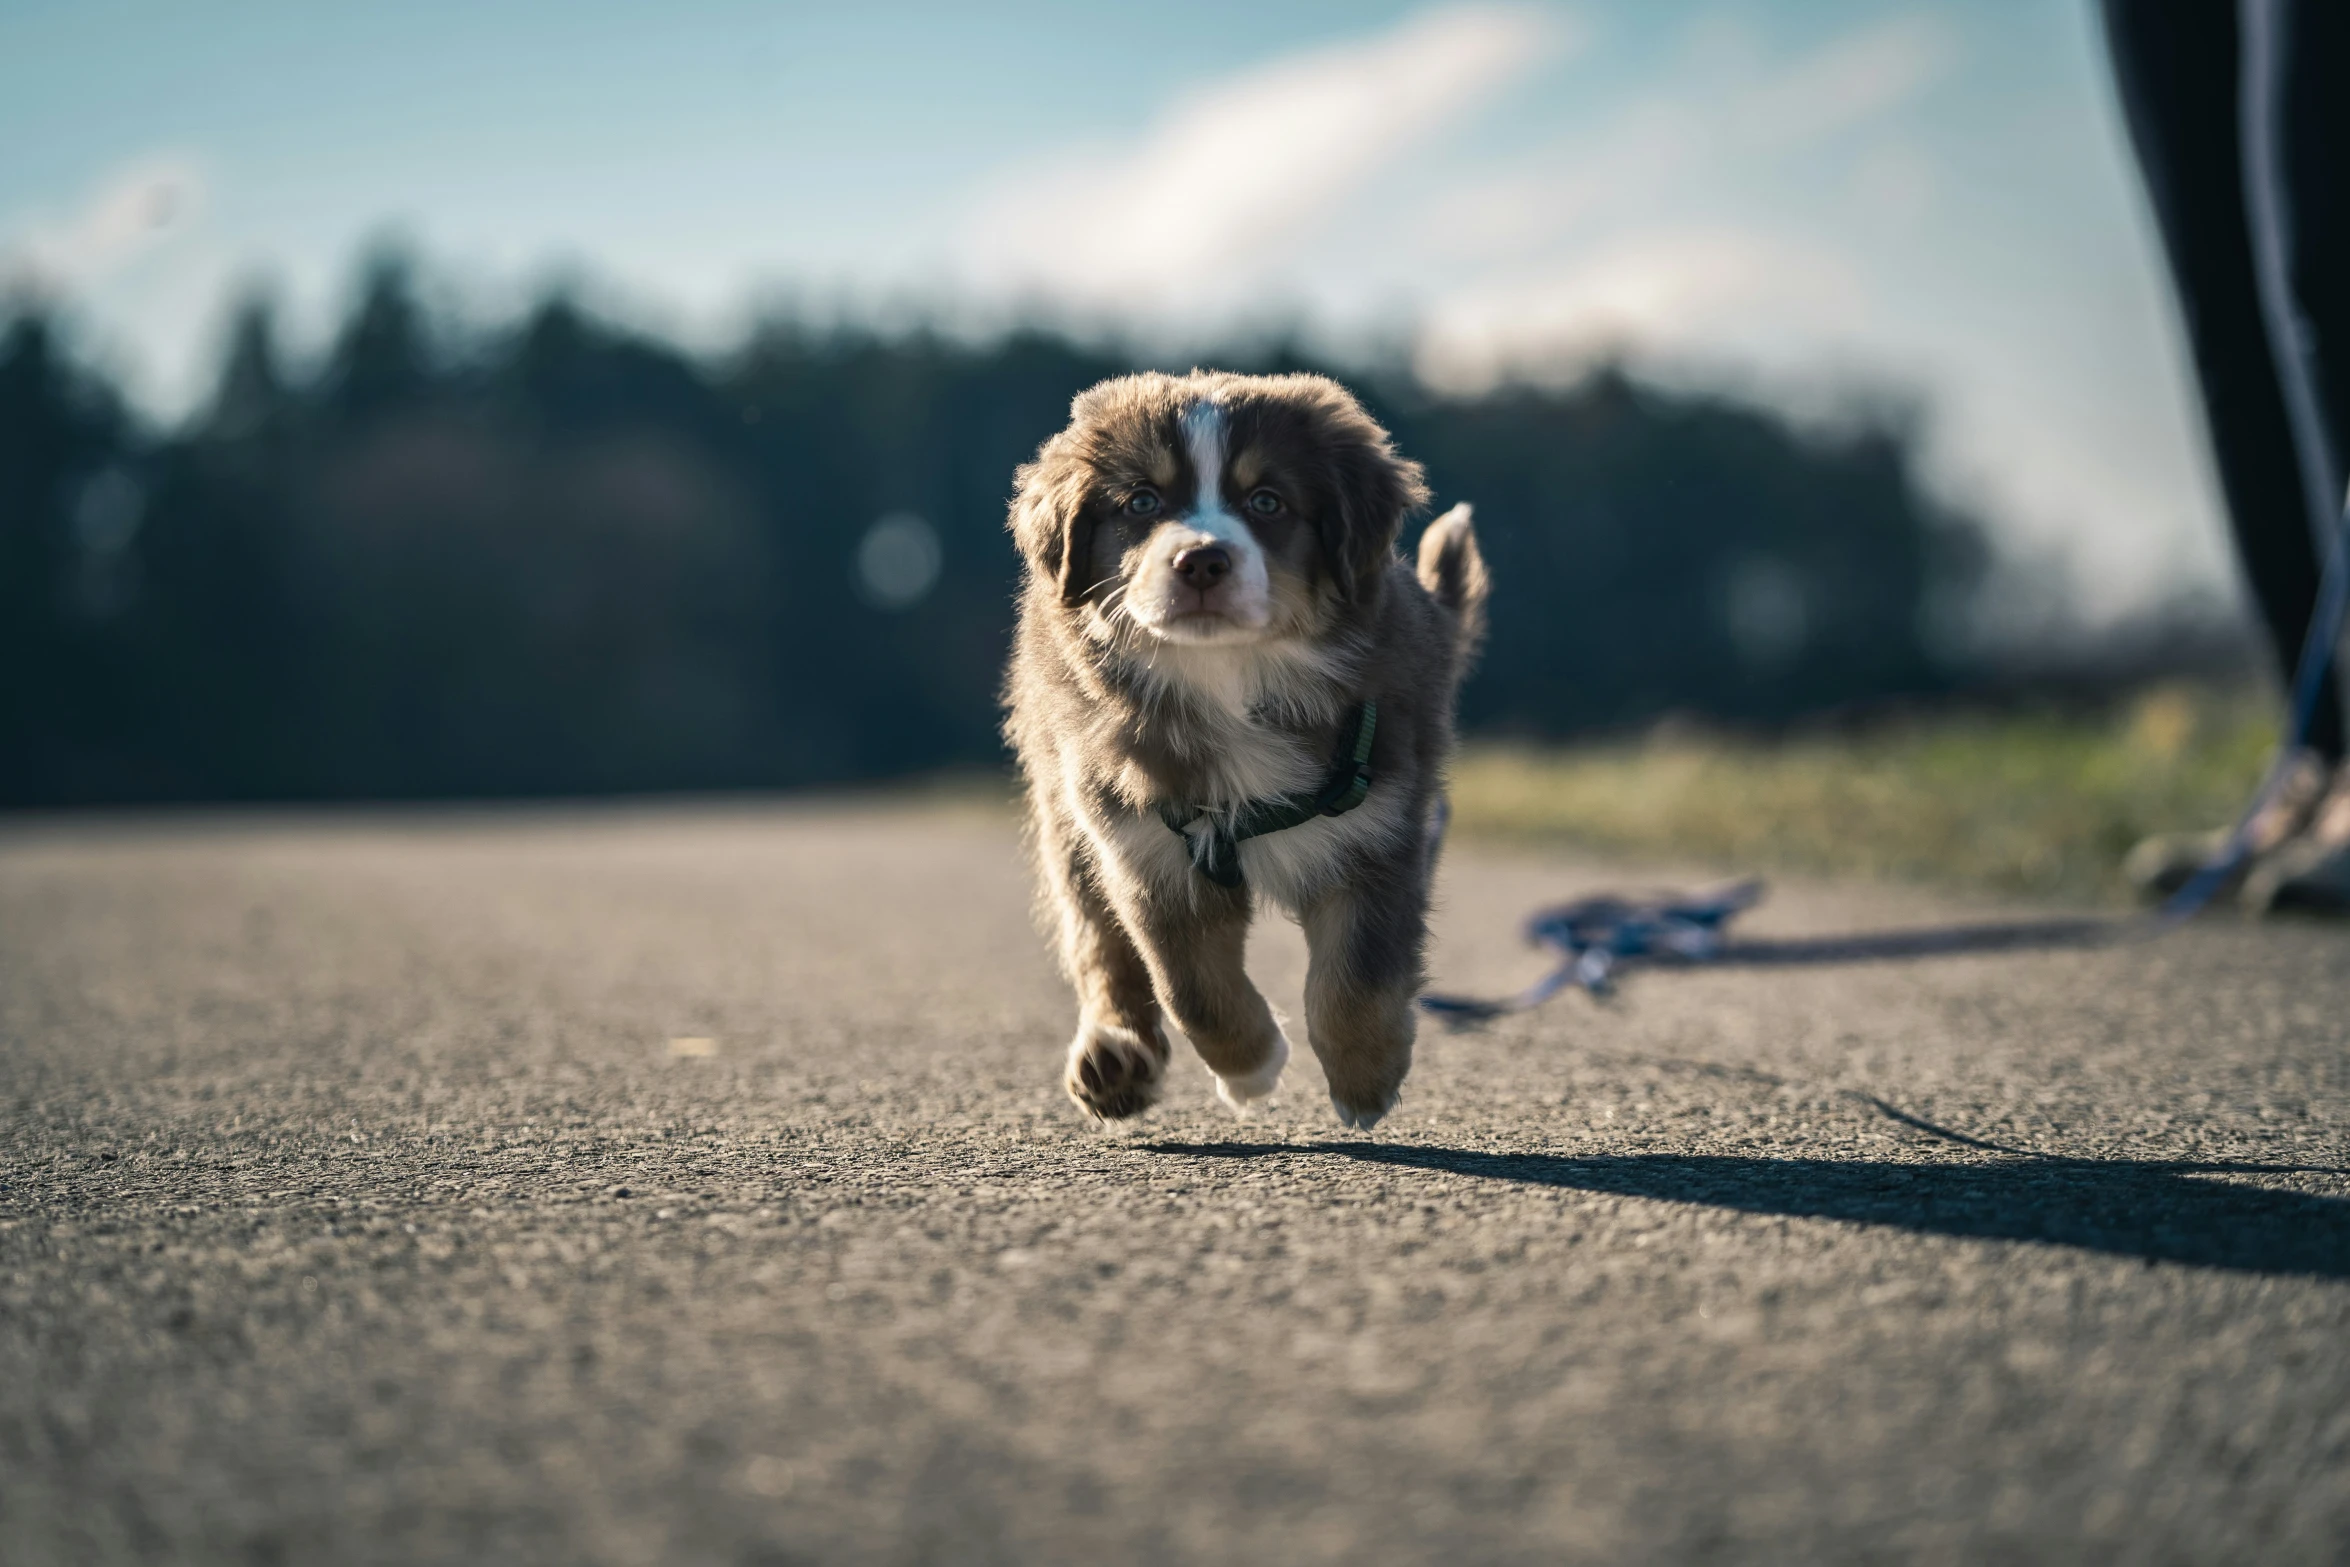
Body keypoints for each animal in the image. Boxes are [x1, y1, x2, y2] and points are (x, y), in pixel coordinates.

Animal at [996, 371, 1485, 1127]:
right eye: (1142, 501)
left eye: (1267, 501)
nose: (1201, 560)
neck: (1229, 677)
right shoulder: (1145, 848)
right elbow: (1190, 986)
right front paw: (1252, 1068)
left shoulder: (1378, 830)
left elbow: (1358, 977)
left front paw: (1364, 1082)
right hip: (1068, 817)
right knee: (1097, 942)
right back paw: (1113, 1055)